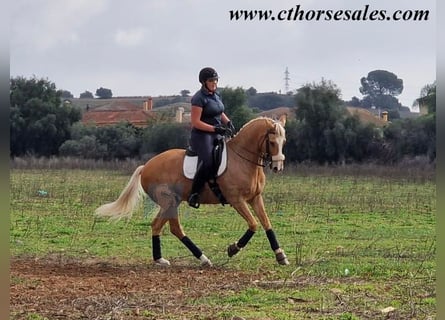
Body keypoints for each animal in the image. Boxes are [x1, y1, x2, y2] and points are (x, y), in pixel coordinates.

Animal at [95, 116, 288, 266]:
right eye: (272, 142)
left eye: (283, 142)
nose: (278, 167)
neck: (243, 160)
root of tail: (146, 166)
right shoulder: (236, 200)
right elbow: (254, 224)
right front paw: (233, 248)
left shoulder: (255, 198)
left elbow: (267, 223)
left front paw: (280, 255)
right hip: (168, 202)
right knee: (164, 226)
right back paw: (177, 259)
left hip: (172, 203)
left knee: (168, 227)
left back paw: (188, 259)